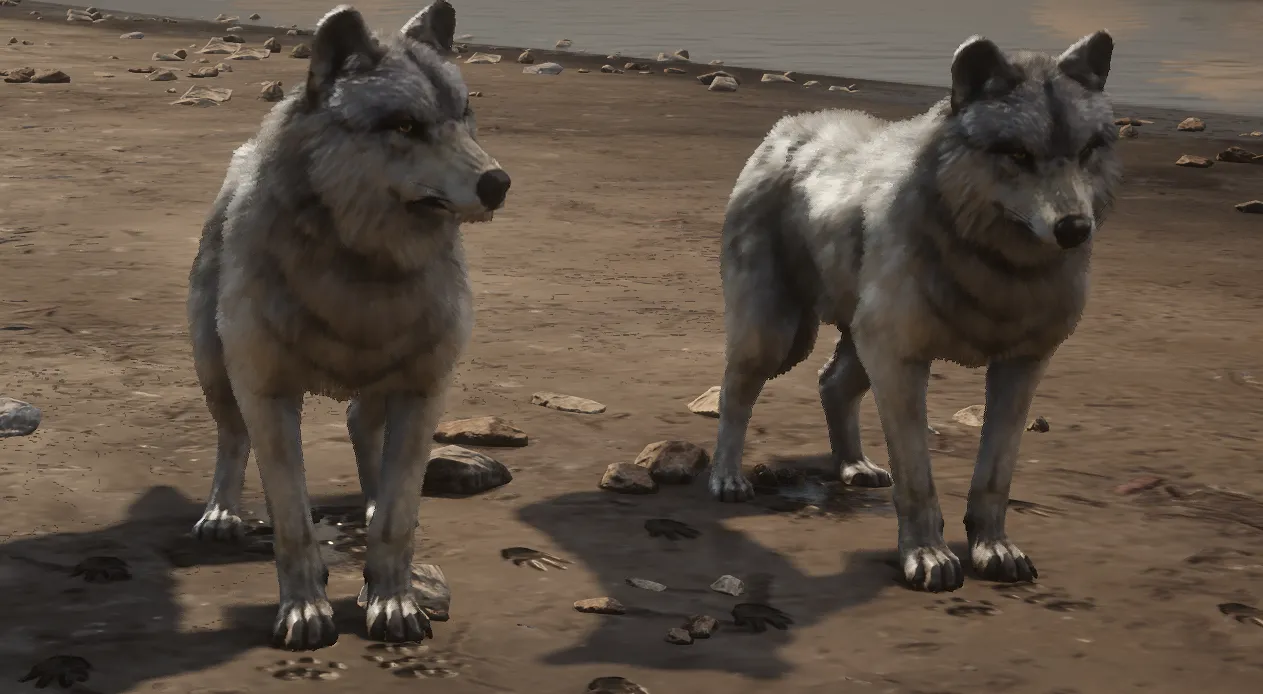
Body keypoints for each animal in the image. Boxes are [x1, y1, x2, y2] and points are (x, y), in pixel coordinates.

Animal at [185, 1, 510, 650]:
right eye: (405, 125)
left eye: (464, 115)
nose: (499, 183)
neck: (364, 274)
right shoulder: (268, 395)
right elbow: (292, 521)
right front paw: (305, 611)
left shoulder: (424, 391)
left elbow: (399, 517)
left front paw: (393, 601)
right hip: (214, 370)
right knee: (232, 439)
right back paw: (222, 514)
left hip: (386, 389)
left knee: (365, 430)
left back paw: (369, 503)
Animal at [710, 31, 1120, 593]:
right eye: (1018, 153)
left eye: (1086, 152)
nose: (1075, 229)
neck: (996, 268)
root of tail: (792, 125)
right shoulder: (900, 363)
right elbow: (917, 479)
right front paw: (926, 556)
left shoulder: (1020, 367)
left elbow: (995, 475)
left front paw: (994, 548)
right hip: (776, 338)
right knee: (735, 393)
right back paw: (726, 477)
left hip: (859, 345)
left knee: (831, 383)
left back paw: (853, 465)